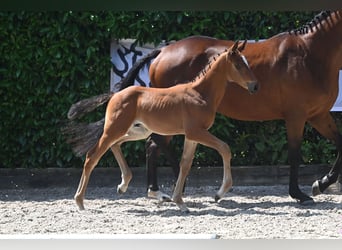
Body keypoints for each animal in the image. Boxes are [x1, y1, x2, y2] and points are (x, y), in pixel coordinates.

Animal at [66, 41, 260, 211]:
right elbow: (224, 148)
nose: (255, 86)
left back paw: (123, 184)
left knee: (116, 144)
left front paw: (180, 202)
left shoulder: (192, 135)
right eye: (238, 65)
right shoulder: (197, 132)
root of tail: (116, 95)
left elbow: (185, 164)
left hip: (138, 131)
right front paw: (219, 194)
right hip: (115, 128)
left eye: (247, 63)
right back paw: (80, 201)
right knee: (92, 156)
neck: (200, 94)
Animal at [131, 10, 342, 205]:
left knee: (155, 145)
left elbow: (339, 142)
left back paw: (170, 188)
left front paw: (321, 184)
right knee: (155, 144)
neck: (309, 55)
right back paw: (163, 189)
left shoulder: (318, 115)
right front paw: (299, 194)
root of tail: (163, 52)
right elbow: (295, 154)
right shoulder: (296, 117)